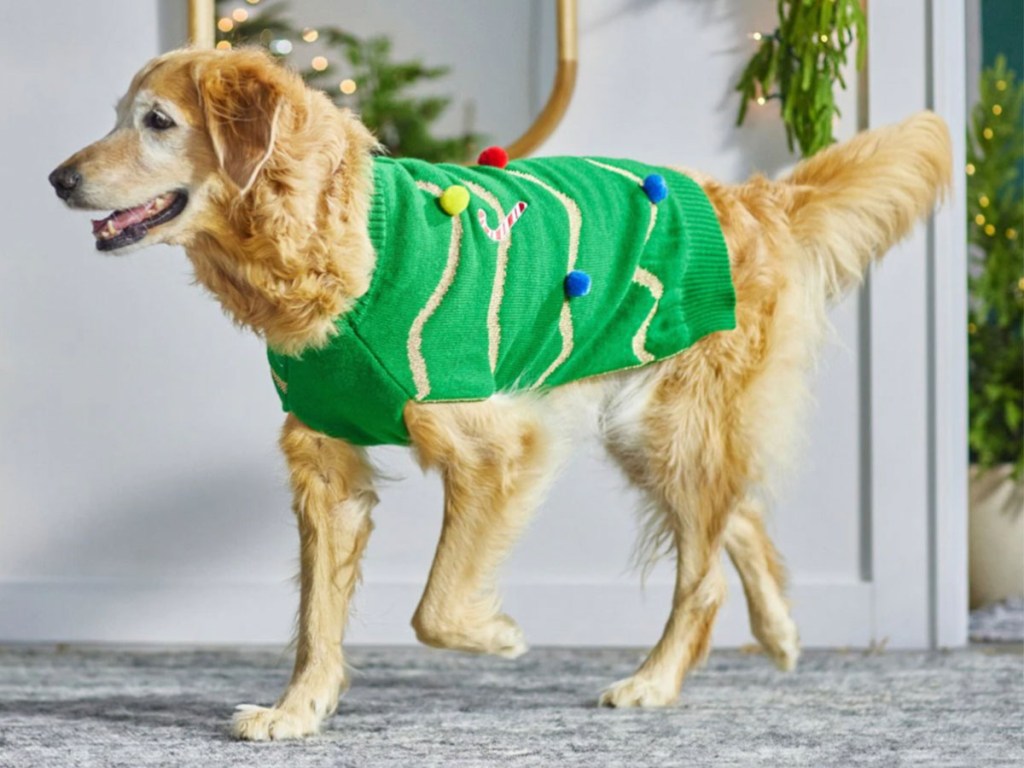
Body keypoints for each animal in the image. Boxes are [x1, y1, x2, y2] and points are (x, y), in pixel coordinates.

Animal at [49, 46, 950, 741]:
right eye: (119, 114)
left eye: (157, 121)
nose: (56, 177)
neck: (329, 244)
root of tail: (746, 197)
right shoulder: (324, 463)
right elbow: (315, 618)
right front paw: (298, 711)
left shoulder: (496, 446)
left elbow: (435, 606)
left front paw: (498, 635)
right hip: (643, 424)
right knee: (743, 515)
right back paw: (782, 632)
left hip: (670, 424)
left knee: (704, 574)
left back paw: (655, 682)